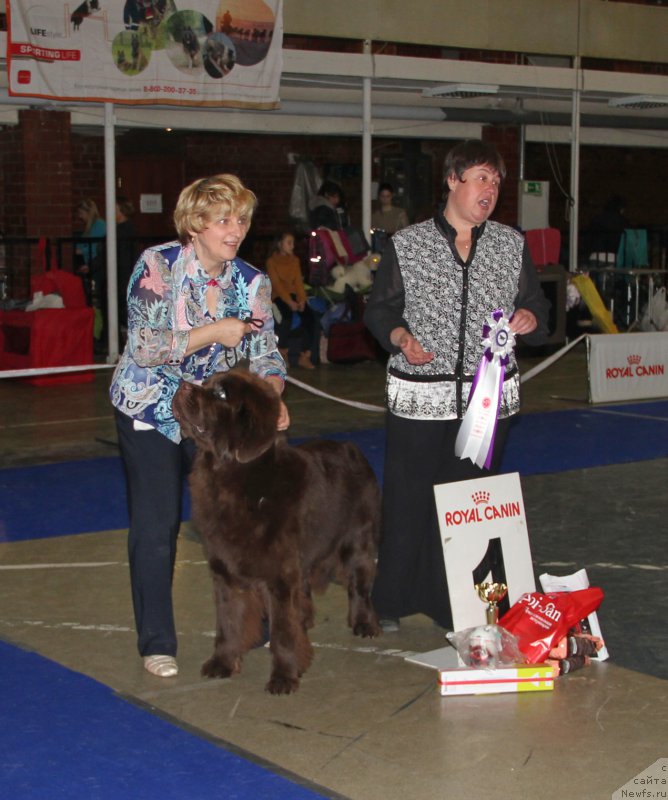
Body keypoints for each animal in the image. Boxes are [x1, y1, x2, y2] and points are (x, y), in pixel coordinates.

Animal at [172, 368, 380, 692]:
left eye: (221, 394)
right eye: (205, 383)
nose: (182, 385)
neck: (233, 479)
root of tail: (352, 448)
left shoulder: (279, 574)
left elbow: (282, 630)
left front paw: (284, 677)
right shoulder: (225, 570)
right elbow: (227, 622)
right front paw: (222, 663)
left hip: (358, 540)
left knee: (359, 584)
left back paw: (364, 624)